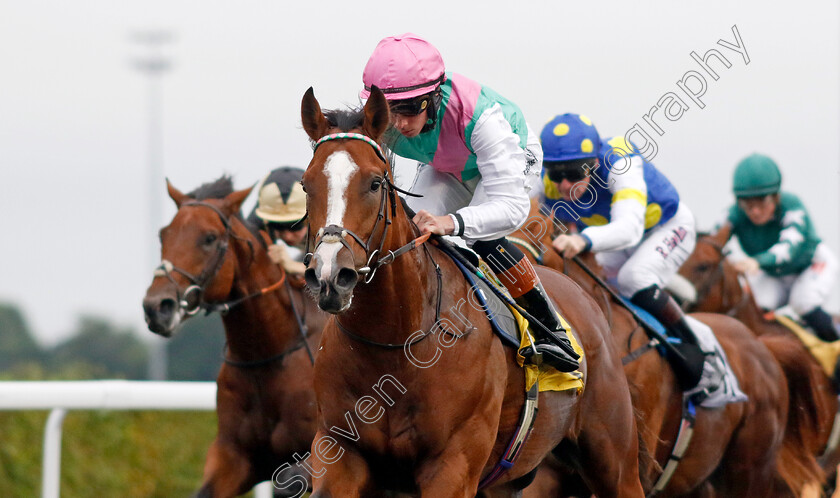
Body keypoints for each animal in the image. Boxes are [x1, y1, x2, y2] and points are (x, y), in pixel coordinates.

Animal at [143, 179, 326, 498]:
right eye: (163, 234)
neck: (268, 354)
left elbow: (289, 480)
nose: (157, 307)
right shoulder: (234, 455)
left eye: (209, 237)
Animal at [298, 87, 648, 496]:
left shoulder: (453, 465)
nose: (329, 275)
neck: (394, 345)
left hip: (615, 462)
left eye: (374, 183)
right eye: (306, 185)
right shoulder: (339, 451)